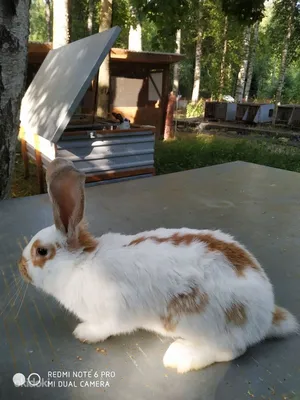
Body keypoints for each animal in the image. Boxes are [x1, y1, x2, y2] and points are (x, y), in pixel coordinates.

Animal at [18, 158, 298, 374]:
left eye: (41, 251)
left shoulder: (113, 314)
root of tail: (266, 314)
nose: (20, 266)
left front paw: (83, 333)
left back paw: (180, 357)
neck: (80, 263)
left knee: (232, 351)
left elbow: (105, 328)